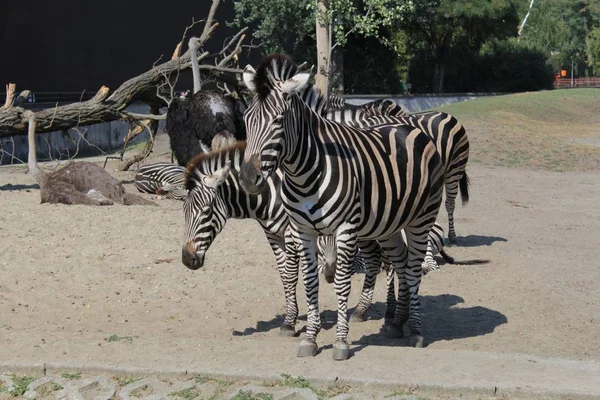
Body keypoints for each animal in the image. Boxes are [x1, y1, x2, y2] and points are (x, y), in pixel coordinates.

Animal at [239, 52, 446, 360]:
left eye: (278, 120)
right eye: (246, 119)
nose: (248, 178)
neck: (304, 174)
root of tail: (408, 126)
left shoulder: (345, 230)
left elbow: (341, 282)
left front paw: (341, 342)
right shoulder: (302, 230)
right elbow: (309, 281)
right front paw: (310, 338)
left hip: (421, 218)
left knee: (412, 267)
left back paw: (417, 331)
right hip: (389, 224)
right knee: (399, 262)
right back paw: (397, 322)